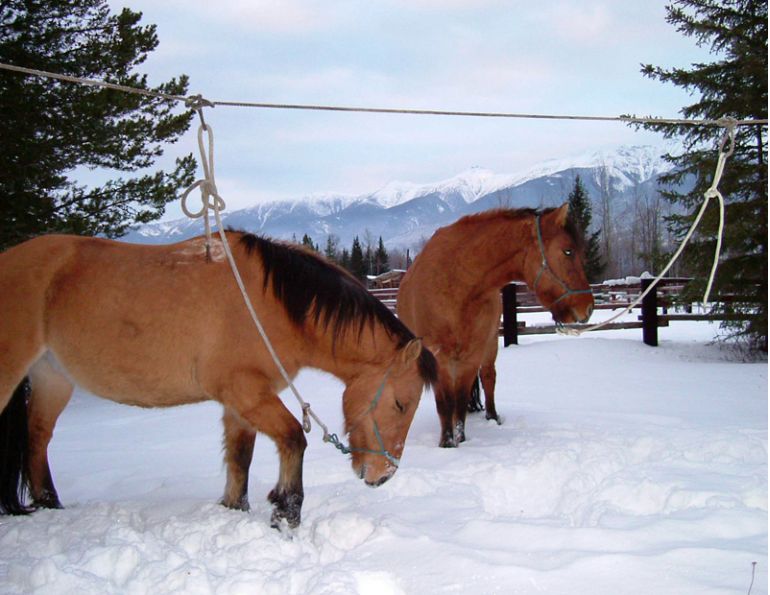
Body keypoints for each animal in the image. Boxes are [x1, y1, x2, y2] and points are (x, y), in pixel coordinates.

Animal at [0, 231, 437, 528]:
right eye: (401, 404)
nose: (383, 476)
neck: (269, 304)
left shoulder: (240, 402)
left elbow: (240, 458)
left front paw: (235, 508)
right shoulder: (247, 393)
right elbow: (294, 438)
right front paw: (286, 511)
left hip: (53, 377)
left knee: (37, 437)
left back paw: (49, 504)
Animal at [397, 205, 594, 447]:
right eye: (568, 251)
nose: (588, 307)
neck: (457, 283)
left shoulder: (472, 356)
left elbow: (460, 399)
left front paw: (460, 440)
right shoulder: (438, 356)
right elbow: (445, 402)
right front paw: (447, 444)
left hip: (489, 345)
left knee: (489, 377)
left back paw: (492, 416)